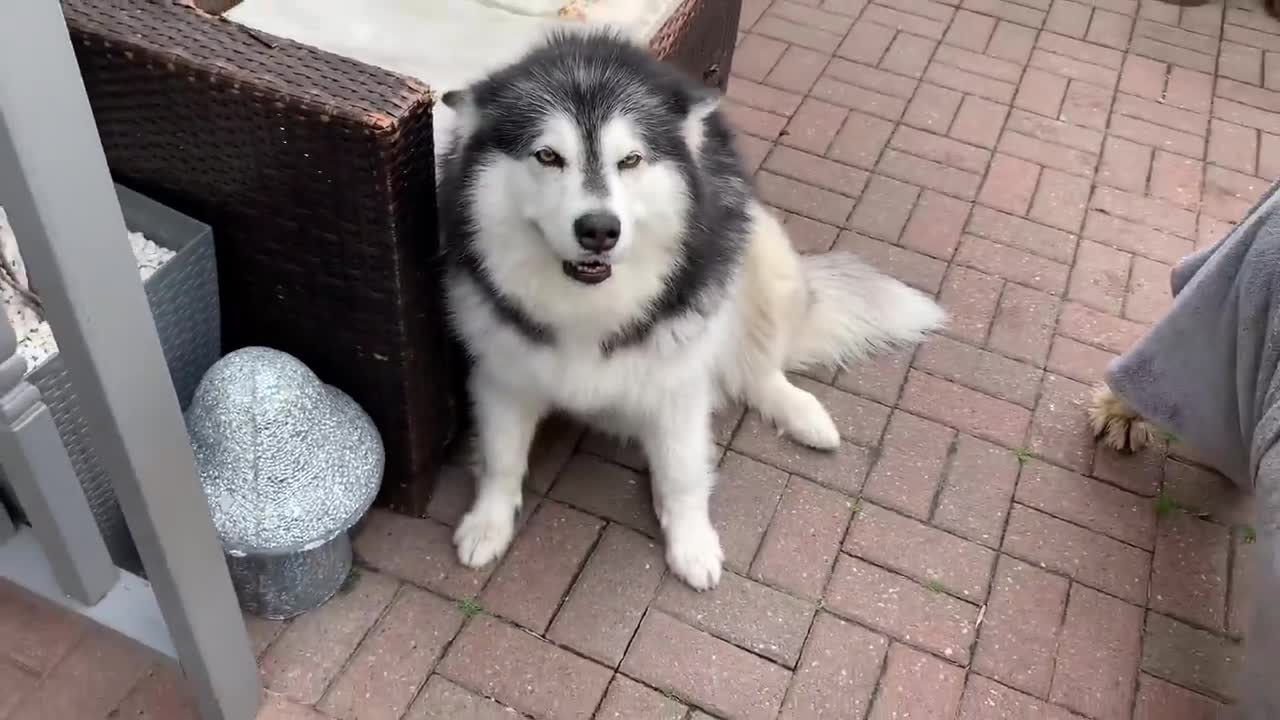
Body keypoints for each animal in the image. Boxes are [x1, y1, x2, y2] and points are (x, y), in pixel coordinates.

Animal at [435, 29, 947, 589]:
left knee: (758, 370)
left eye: (630, 160)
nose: (599, 229)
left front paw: (692, 543)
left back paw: (803, 414)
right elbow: (501, 458)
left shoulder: (679, 383)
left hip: (764, 252)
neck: (589, 305)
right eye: (548, 156)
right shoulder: (502, 372)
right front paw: (487, 523)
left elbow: (682, 473)